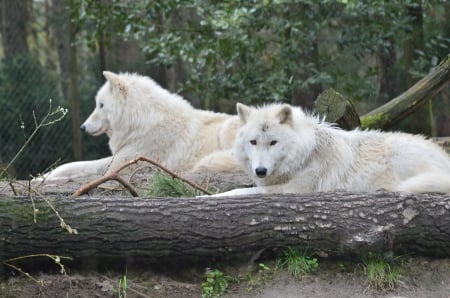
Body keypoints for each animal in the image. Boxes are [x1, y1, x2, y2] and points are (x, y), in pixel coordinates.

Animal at [45, 71, 241, 180]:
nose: (82, 127)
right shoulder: (119, 158)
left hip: (227, 130)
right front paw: (46, 175)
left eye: (100, 105)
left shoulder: (121, 164)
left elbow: (86, 168)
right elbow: (72, 165)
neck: (141, 122)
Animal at [213, 102, 450, 196]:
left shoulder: (294, 190)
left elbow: (239, 192)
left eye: (273, 142)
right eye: (253, 142)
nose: (260, 171)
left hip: (398, 154)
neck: (305, 155)